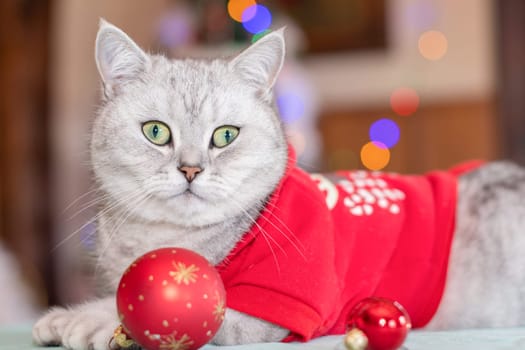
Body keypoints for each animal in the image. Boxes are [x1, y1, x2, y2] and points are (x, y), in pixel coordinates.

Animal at [31, 19, 524, 350]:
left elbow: (152, 316)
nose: (190, 169)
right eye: (156, 132)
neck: (164, 240)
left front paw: (85, 321)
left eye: (225, 136)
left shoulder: (265, 311)